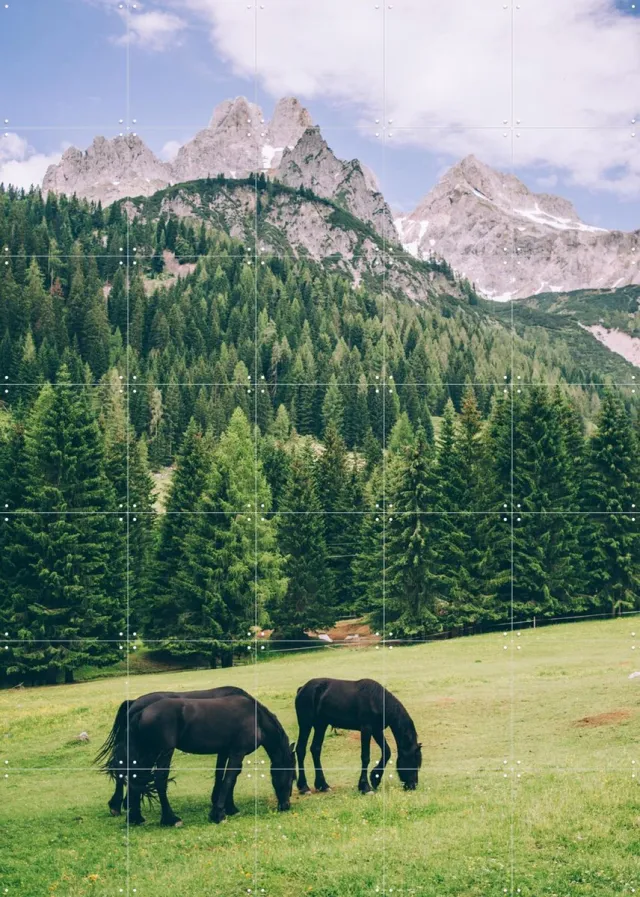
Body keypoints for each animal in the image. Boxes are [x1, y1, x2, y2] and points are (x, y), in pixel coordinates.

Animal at [123, 694, 296, 826]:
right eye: (292, 777)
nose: (286, 805)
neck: (256, 718)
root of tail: (141, 713)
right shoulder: (237, 753)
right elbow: (229, 779)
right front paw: (218, 814)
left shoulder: (224, 752)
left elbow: (223, 777)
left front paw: (228, 808)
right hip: (163, 752)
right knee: (159, 780)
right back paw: (170, 819)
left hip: (148, 753)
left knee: (136, 779)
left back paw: (135, 818)